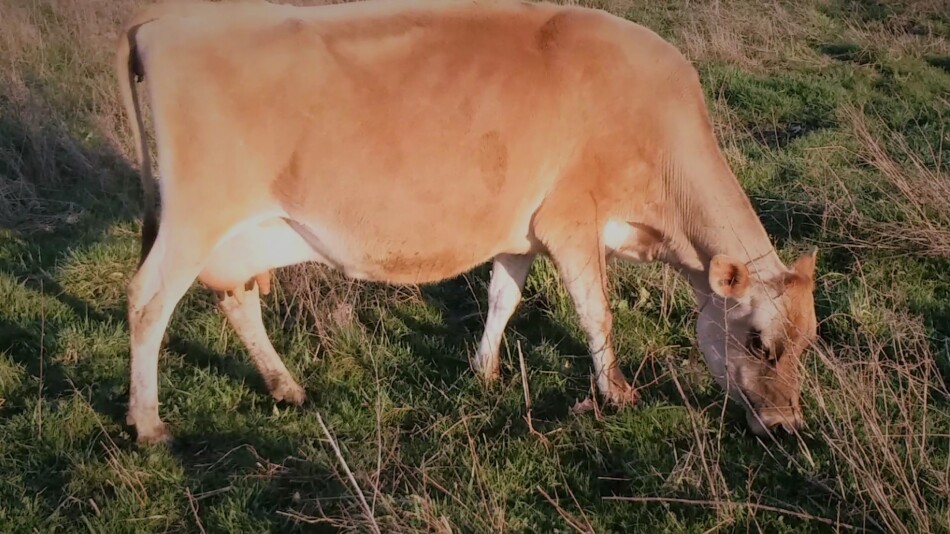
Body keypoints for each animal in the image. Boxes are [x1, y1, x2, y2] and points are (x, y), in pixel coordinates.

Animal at [117, 0, 820, 446]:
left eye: (808, 344)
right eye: (759, 342)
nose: (787, 427)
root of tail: (161, 21)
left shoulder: (523, 231)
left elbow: (503, 299)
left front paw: (484, 371)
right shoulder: (571, 221)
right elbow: (597, 312)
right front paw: (616, 392)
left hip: (242, 233)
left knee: (236, 298)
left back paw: (285, 387)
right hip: (195, 218)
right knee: (148, 301)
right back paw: (148, 424)